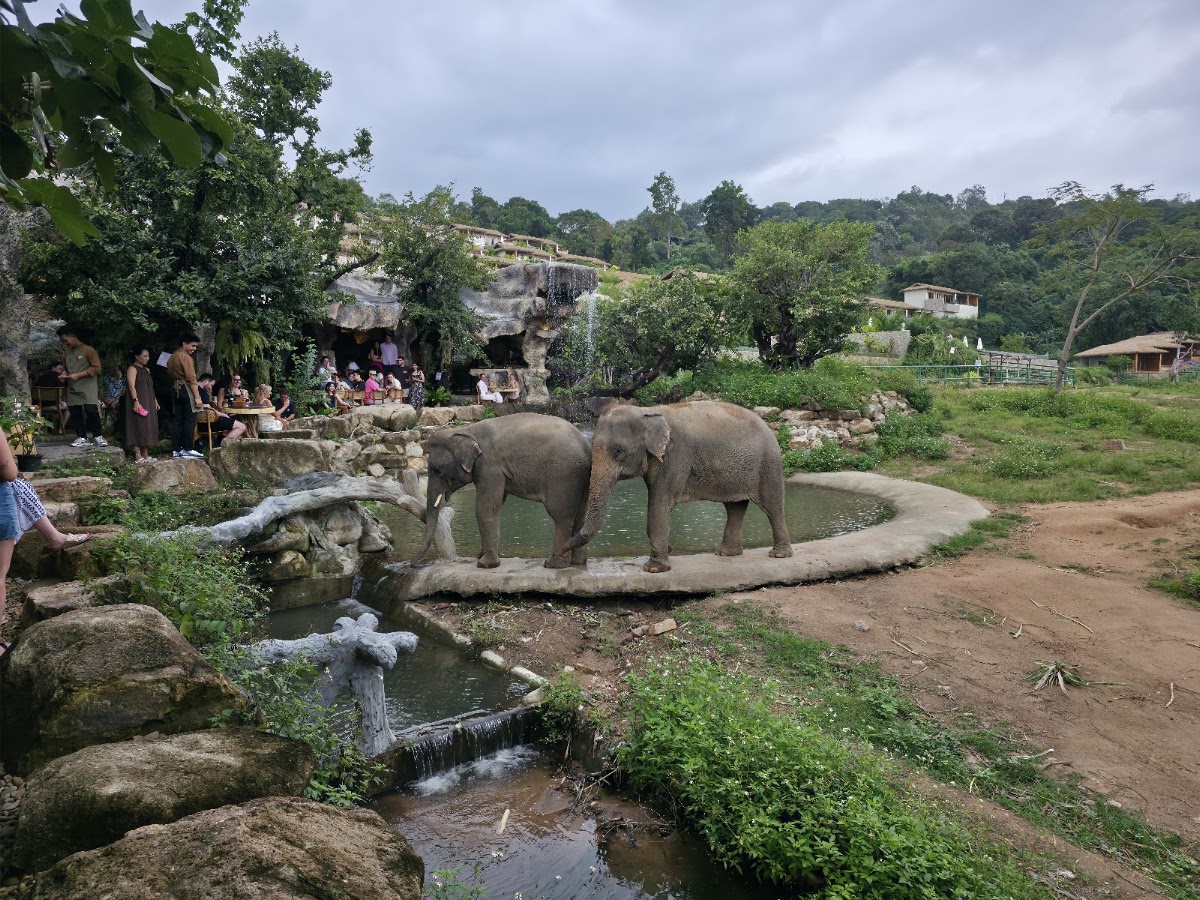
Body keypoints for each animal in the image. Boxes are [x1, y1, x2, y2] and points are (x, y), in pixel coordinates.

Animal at [413, 413, 592, 569]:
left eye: (437, 470)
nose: (412, 564)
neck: (467, 430)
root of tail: (585, 445)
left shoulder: (489, 466)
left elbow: (486, 507)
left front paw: (484, 564)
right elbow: (497, 506)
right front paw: (481, 557)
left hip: (564, 476)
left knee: (561, 516)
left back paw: (553, 565)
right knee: (580, 517)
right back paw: (577, 563)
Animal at [564, 401, 792, 572]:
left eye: (619, 451)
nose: (563, 549)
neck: (647, 411)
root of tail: (768, 427)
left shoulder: (676, 456)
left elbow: (661, 502)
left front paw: (654, 568)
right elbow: (654, 502)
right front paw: (665, 552)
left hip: (768, 464)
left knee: (772, 506)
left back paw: (779, 554)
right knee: (734, 507)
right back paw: (725, 553)